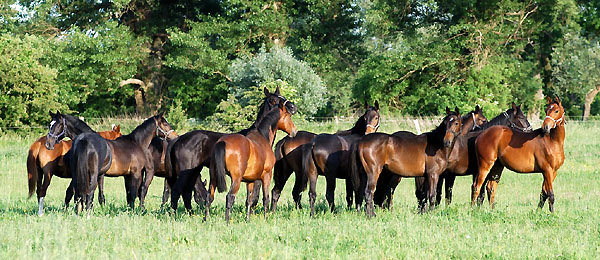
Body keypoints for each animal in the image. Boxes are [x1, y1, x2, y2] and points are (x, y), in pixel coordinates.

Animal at [46, 112, 176, 214]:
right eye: (165, 124)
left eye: (57, 124)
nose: (49, 143)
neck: (136, 143)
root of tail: (83, 140)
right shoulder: (135, 173)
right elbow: (134, 193)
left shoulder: (126, 175)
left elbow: (129, 194)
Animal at [168, 86, 296, 212]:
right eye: (273, 100)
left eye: (283, 96)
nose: (293, 107)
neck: (259, 136)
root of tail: (178, 140)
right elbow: (254, 198)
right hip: (186, 173)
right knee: (176, 191)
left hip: (194, 172)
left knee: (187, 193)